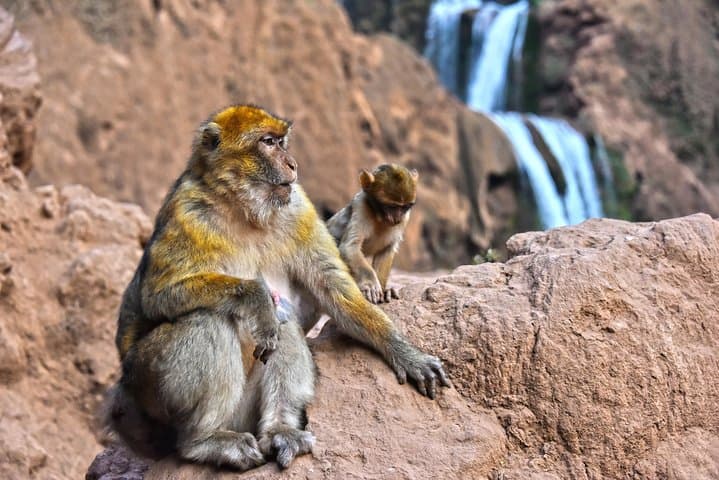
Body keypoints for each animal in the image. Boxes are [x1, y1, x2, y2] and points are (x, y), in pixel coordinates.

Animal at [326, 164, 417, 304]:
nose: (397, 219)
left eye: (405, 207)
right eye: (392, 206)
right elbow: (350, 247)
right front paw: (370, 284)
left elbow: (387, 250)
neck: (378, 217)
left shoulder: (405, 218)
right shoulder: (361, 205)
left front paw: (384, 290)